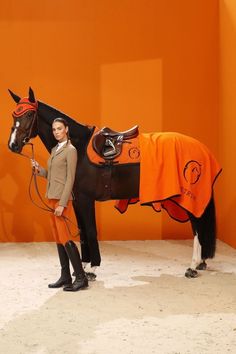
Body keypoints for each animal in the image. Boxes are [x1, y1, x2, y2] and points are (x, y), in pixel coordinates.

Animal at [7, 87, 221, 278]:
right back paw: (200, 262)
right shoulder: (76, 200)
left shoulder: (86, 199)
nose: (13, 144)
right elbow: (82, 231)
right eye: (14, 115)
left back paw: (193, 266)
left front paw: (92, 268)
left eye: (29, 114)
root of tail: (202, 149)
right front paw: (84, 266)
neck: (78, 147)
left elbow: (90, 230)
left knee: (197, 226)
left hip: (187, 197)